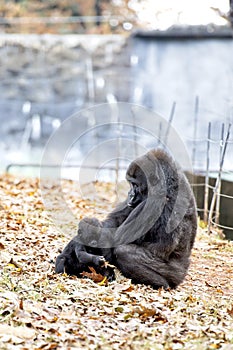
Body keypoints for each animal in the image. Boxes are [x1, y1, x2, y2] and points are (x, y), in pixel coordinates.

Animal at [55, 149, 198, 288]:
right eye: (130, 184)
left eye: (135, 185)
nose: (130, 194)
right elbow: (113, 222)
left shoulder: (154, 201)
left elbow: (116, 240)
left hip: (175, 274)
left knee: (124, 252)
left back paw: (161, 284)